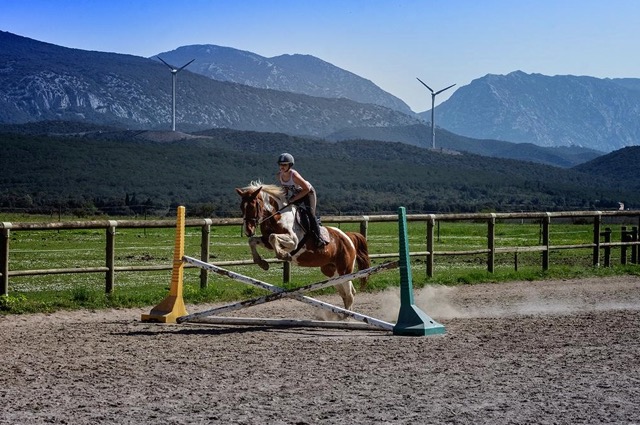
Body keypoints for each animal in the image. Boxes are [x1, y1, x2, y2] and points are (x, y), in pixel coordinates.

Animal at [235, 181, 370, 310]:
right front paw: (262, 263)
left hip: (344, 271)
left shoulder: (293, 241)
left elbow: (273, 237)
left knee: (350, 295)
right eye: (241, 207)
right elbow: (253, 240)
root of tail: (348, 237)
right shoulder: (266, 242)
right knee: (345, 294)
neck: (278, 216)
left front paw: (284, 255)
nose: (248, 231)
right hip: (332, 272)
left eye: (253, 205)